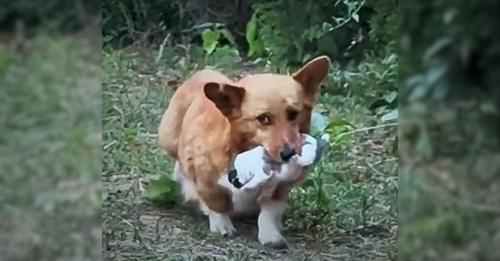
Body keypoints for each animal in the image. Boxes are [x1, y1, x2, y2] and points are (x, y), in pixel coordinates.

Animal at [158, 55, 330, 247]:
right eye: (263, 119)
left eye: (293, 114)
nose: (288, 154)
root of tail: (200, 73)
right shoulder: (206, 177)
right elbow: (217, 203)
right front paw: (222, 225)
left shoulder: (281, 188)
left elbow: (269, 211)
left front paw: (270, 235)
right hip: (168, 139)